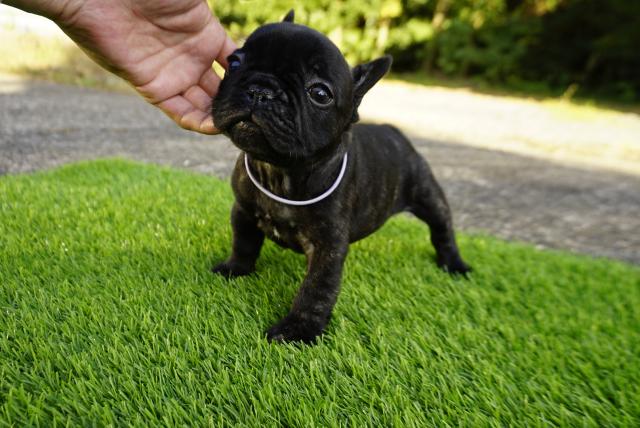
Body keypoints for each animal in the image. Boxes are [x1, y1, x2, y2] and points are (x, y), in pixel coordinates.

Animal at [211, 10, 470, 343]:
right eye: (234, 62)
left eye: (320, 93)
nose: (261, 90)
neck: (281, 172)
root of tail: (394, 131)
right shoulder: (243, 211)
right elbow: (243, 243)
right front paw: (235, 269)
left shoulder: (329, 246)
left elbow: (316, 289)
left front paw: (299, 329)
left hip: (428, 195)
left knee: (442, 230)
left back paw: (454, 264)